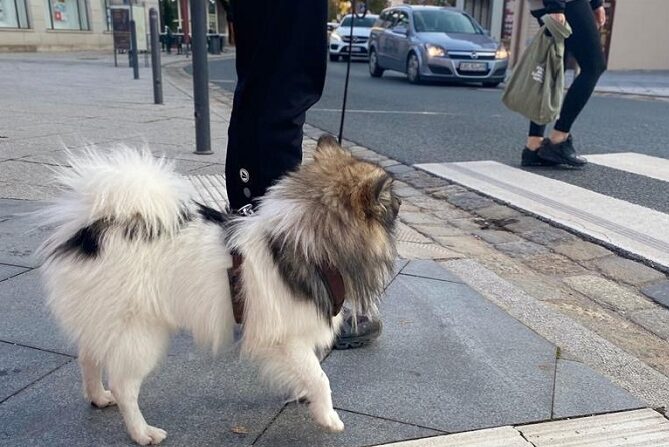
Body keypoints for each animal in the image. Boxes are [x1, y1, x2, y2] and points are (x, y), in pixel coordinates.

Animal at [39, 136, 396, 444]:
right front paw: (328, 417)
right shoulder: (285, 338)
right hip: (140, 334)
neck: (306, 243)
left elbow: (307, 374)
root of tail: (92, 230)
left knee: (88, 357)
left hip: (104, 320)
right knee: (124, 385)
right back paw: (142, 432)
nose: (401, 202)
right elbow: (320, 377)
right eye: (394, 203)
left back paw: (98, 397)